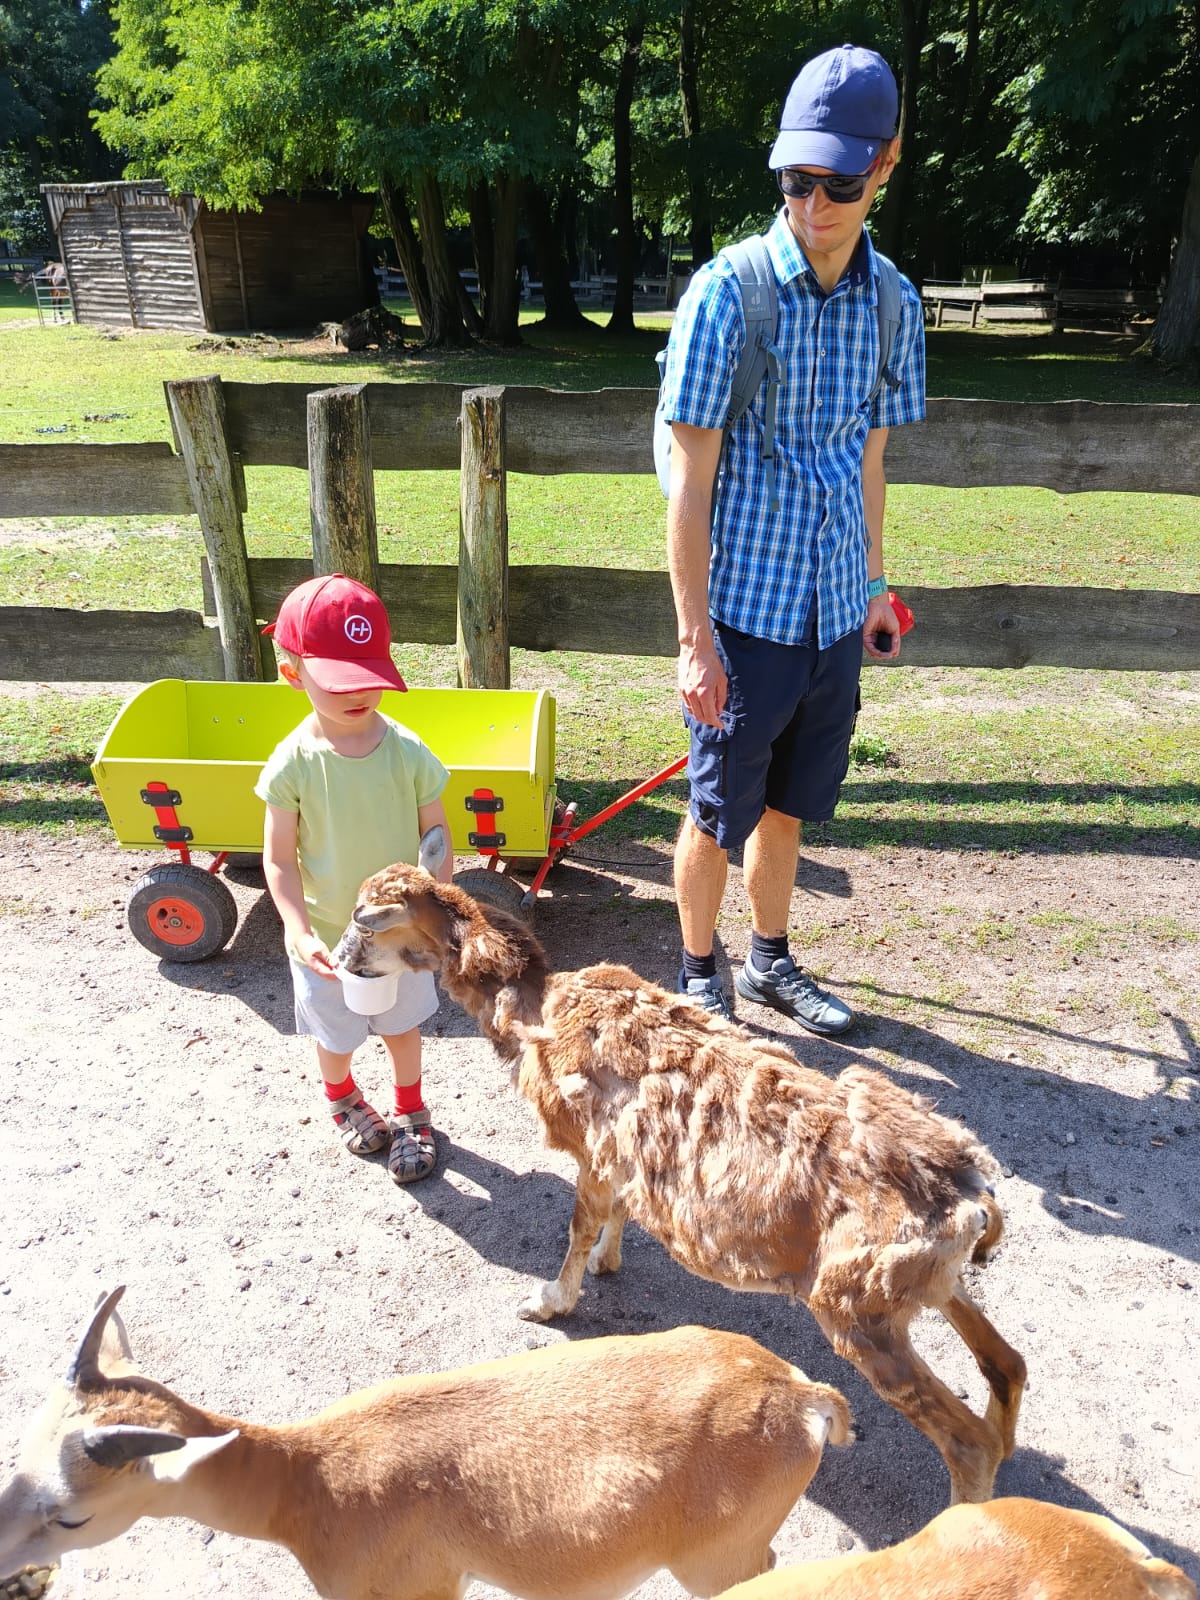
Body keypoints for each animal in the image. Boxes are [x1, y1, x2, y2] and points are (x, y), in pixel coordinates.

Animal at [0, 1287, 850, 1600]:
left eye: (70, 1514)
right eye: (21, 1455)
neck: (307, 1481)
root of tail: (802, 1397)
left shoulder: (414, 1589)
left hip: (715, 1560)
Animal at [336, 863, 1027, 1506]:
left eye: (366, 921)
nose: (341, 960)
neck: (538, 1010)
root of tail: (971, 1198)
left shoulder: (589, 1147)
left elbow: (578, 1226)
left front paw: (549, 1301)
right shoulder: (619, 1154)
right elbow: (614, 1213)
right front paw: (609, 1262)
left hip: (855, 1304)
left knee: (967, 1440)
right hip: (919, 1286)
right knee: (1007, 1364)